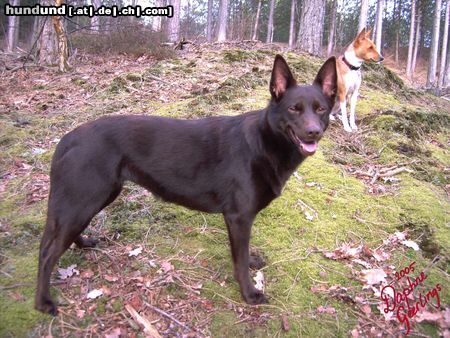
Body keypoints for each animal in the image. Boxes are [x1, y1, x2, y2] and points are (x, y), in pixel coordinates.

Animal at [35, 54, 336, 316]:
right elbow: (239, 262)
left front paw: (251, 262)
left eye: (321, 109)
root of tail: (68, 138)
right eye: (294, 109)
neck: (264, 141)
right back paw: (43, 302)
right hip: (86, 199)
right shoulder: (239, 217)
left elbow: (243, 253)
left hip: (94, 197)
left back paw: (84, 244)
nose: (313, 132)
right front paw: (249, 294)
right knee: (47, 253)